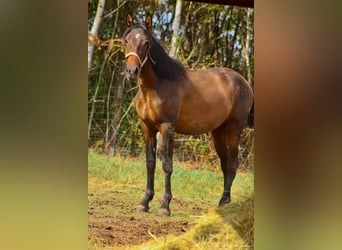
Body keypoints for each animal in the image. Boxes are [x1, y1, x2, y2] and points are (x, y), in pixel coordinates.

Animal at [122, 13, 254, 216]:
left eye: (146, 43)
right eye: (126, 40)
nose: (132, 71)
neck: (157, 86)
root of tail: (244, 83)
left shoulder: (167, 127)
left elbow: (167, 165)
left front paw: (165, 206)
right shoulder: (147, 128)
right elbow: (150, 163)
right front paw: (144, 203)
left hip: (234, 128)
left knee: (233, 164)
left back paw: (224, 201)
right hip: (218, 131)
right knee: (225, 164)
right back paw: (224, 203)